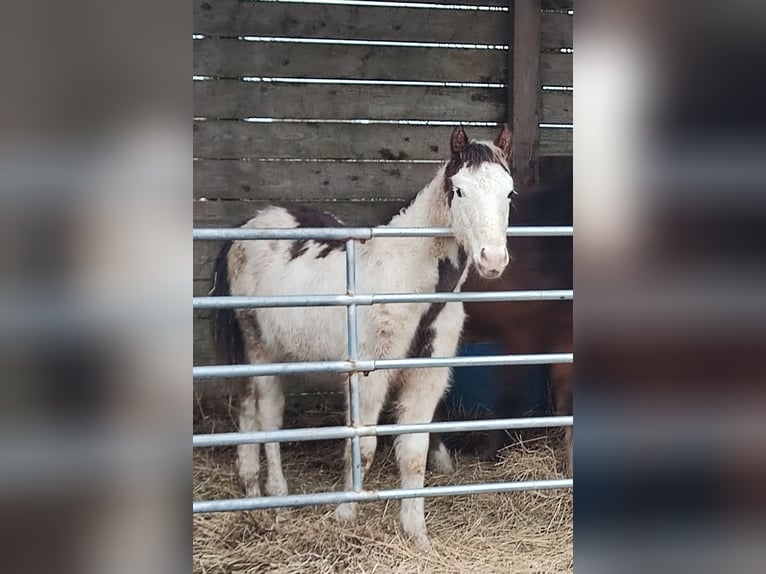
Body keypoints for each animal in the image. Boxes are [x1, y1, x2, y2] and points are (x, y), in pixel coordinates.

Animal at [209, 126, 515, 549]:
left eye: (509, 193)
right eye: (459, 190)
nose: (493, 260)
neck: (412, 281)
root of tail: (247, 227)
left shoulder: (427, 379)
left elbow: (415, 453)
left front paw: (417, 535)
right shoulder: (370, 377)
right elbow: (364, 446)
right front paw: (344, 513)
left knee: (248, 412)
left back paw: (253, 491)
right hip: (260, 348)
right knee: (268, 415)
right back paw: (278, 500)